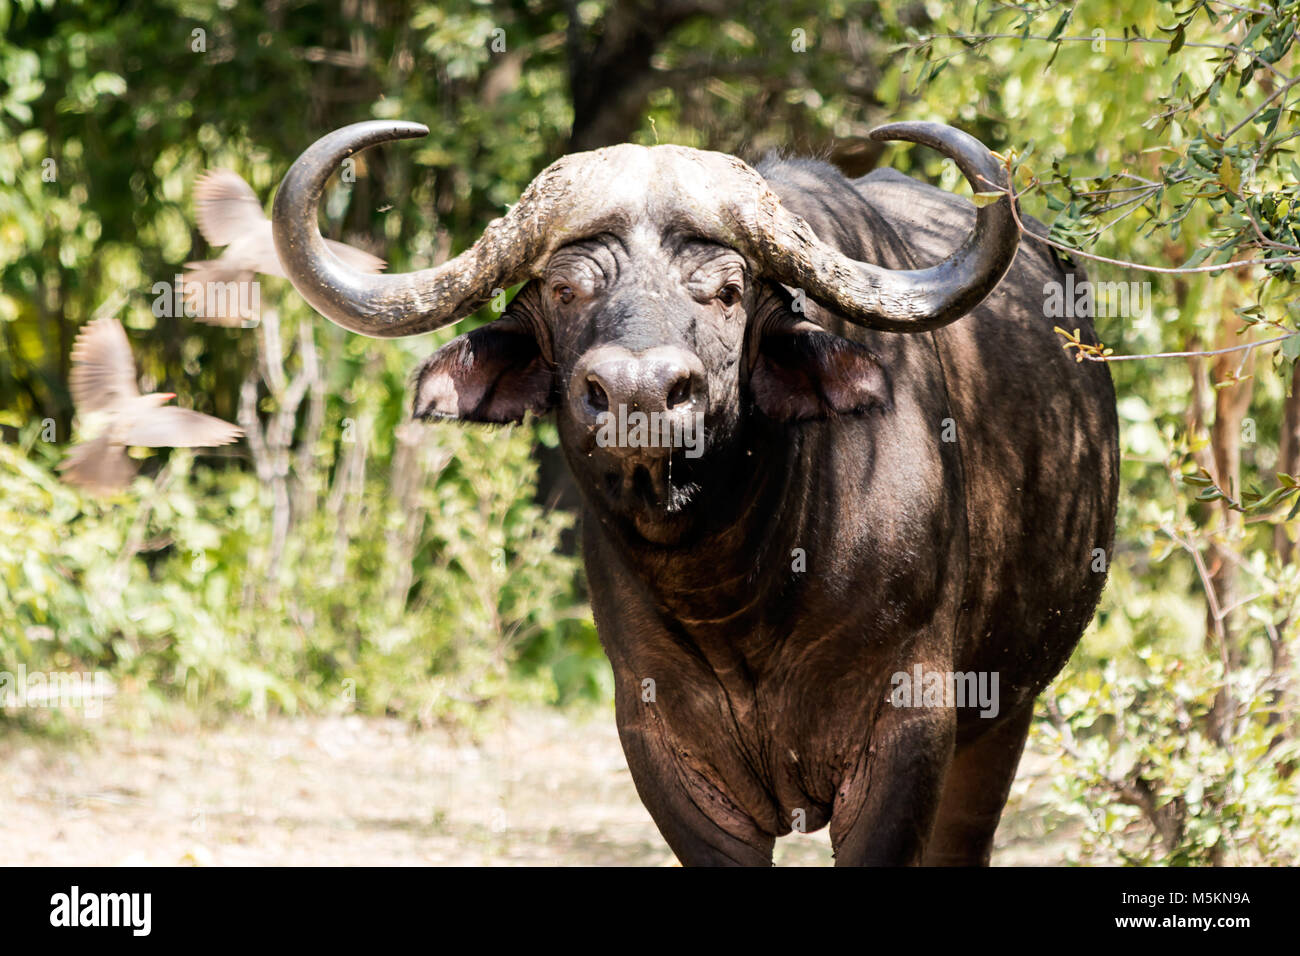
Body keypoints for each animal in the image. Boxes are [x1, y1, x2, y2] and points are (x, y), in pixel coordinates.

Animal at [271, 119, 1119, 866]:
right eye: (565, 290)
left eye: (726, 292)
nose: (639, 393)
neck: (741, 588)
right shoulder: (665, 752)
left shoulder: (908, 734)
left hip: (1004, 716)